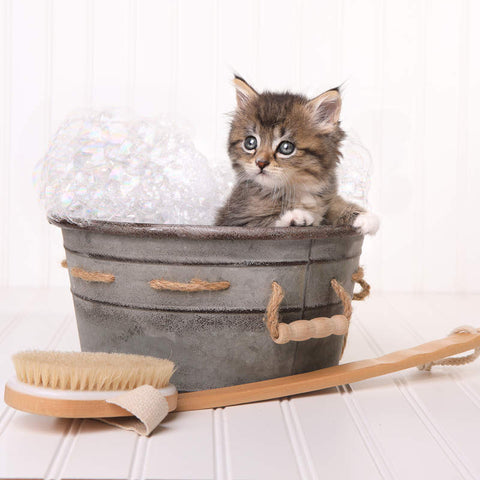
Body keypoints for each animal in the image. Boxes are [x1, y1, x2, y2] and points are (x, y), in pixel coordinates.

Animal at [217, 75, 378, 234]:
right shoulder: (234, 220)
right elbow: (263, 221)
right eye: (250, 143)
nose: (260, 162)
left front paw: (361, 216)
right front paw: (294, 216)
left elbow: (333, 204)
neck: (298, 190)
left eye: (286, 147)